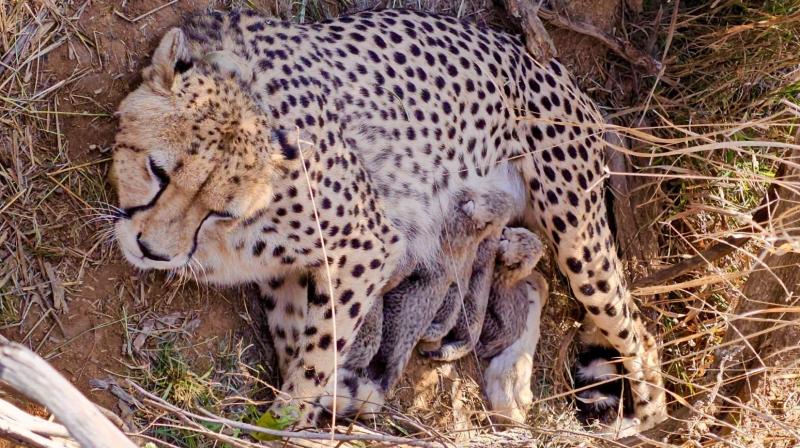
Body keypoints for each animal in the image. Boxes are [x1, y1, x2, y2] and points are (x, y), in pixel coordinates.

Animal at [111, 7, 667, 431]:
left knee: (640, 335)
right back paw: (510, 383)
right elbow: (297, 341)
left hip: (579, 237)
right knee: (536, 282)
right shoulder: (288, 272)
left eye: (219, 210)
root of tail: (549, 64)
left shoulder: (368, 244)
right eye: (157, 171)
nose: (152, 250)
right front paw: (335, 396)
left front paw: (288, 421)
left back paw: (639, 419)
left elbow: (318, 353)